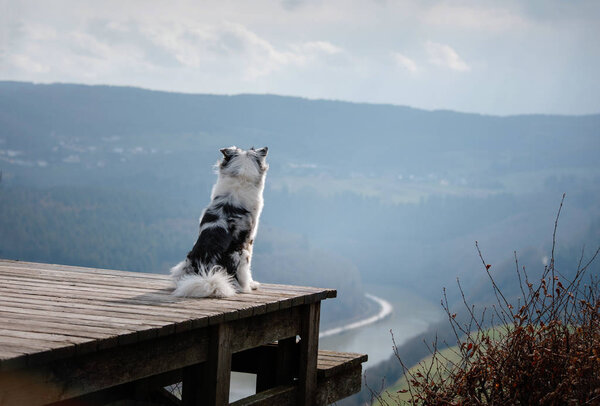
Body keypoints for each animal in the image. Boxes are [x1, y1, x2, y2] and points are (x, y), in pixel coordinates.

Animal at [171, 146, 270, 298]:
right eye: (253, 148)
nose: (265, 148)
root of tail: (207, 274)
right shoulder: (249, 241)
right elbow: (249, 268)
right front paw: (253, 284)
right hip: (238, 255)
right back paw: (246, 287)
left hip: (185, 262)